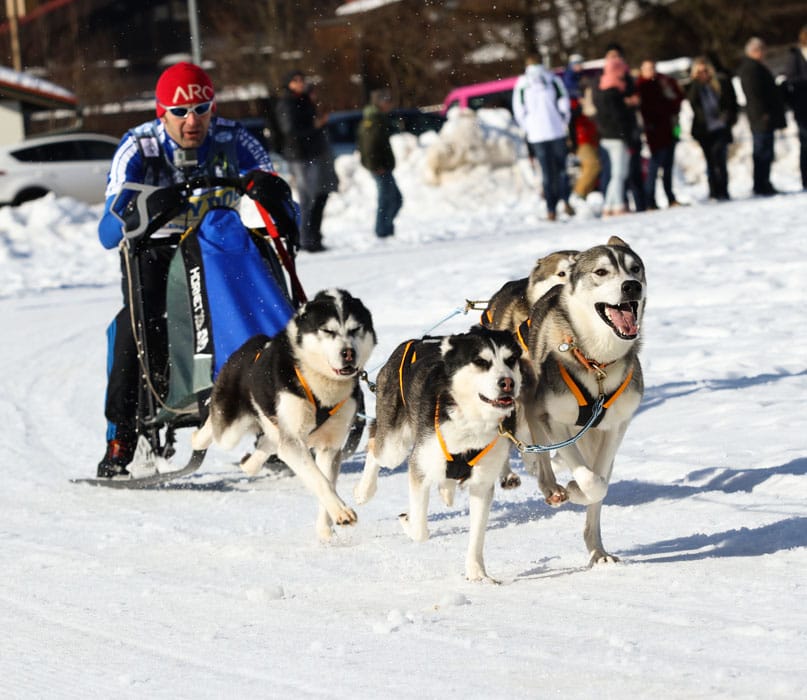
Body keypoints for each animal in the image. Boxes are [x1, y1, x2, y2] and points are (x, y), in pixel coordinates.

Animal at [192, 290, 376, 540]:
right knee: (214, 429)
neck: (321, 385)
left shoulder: (329, 446)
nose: (348, 353)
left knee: (266, 445)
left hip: (274, 429)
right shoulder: (295, 441)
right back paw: (197, 438)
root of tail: (250, 345)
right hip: (230, 429)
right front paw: (341, 511)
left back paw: (249, 463)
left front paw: (325, 528)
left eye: (355, 329)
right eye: (328, 330)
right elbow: (320, 481)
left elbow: (327, 481)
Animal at [356, 326, 524, 580]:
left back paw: (447, 490)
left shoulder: (482, 484)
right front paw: (408, 520)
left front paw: (477, 573)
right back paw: (364, 491)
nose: (507, 382)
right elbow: (419, 529)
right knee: (375, 446)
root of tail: (414, 342)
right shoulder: (419, 467)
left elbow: (477, 536)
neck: (471, 421)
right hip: (394, 446)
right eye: (480, 361)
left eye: (511, 359)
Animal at [520, 238, 648, 568]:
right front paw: (573, 488)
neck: (598, 364)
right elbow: (589, 478)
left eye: (635, 268)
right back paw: (551, 485)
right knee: (541, 453)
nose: (631, 286)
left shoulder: (615, 426)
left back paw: (598, 550)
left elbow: (599, 483)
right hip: (533, 407)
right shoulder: (555, 421)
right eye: (601, 272)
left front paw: (579, 491)